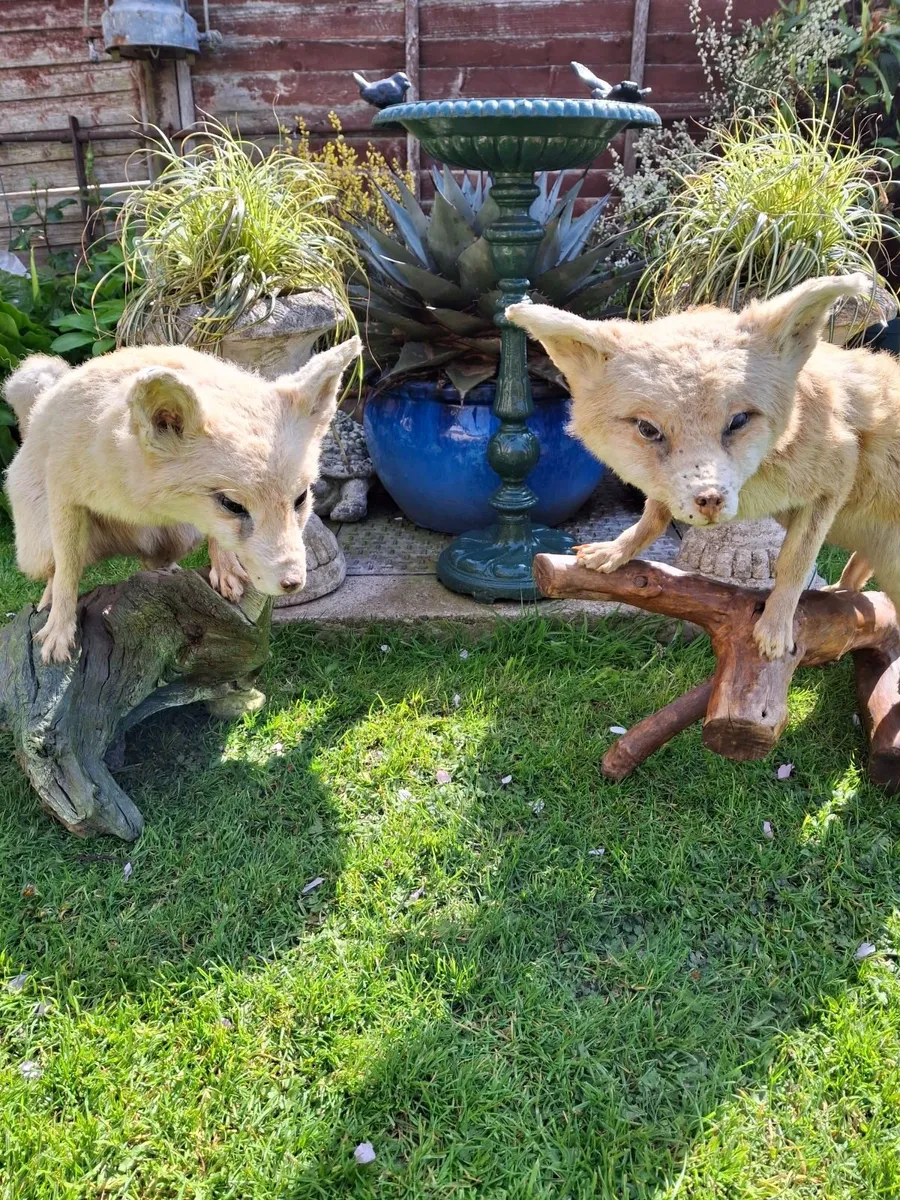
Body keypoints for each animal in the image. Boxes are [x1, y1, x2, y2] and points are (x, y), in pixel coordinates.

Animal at [3, 337, 361, 664]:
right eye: (233, 505)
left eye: (300, 498)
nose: (293, 583)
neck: (138, 494)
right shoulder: (66, 497)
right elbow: (67, 574)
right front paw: (59, 631)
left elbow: (219, 542)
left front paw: (226, 571)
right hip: (38, 546)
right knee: (56, 569)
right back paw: (47, 602)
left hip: (180, 537)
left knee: (153, 564)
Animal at [506, 274, 900, 661]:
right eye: (648, 429)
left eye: (739, 420)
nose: (710, 501)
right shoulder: (669, 491)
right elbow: (652, 516)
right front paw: (616, 551)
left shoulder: (833, 481)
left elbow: (793, 564)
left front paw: (775, 628)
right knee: (859, 573)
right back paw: (841, 594)